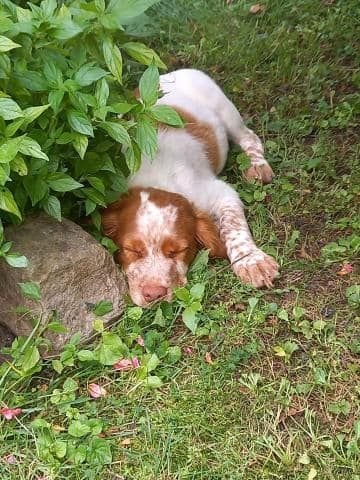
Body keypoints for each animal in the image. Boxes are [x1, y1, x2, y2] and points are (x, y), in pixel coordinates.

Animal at [101, 69, 278, 306]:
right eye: (131, 250)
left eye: (178, 251)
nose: (154, 294)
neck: (155, 180)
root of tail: (168, 73)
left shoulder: (219, 192)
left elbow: (233, 227)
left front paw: (252, 261)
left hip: (226, 110)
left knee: (250, 137)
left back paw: (257, 166)